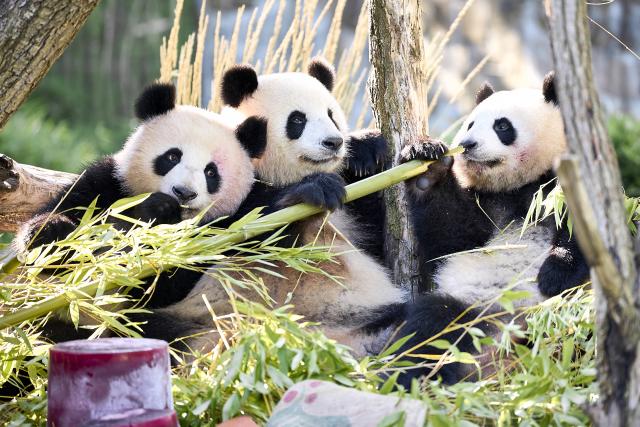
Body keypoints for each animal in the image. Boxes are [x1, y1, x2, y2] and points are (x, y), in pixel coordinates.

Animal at [151, 58, 406, 357]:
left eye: (331, 115)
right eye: (297, 119)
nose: (334, 142)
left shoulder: (353, 215)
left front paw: (367, 151)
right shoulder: (226, 197)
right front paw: (315, 189)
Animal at [393, 72, 590, 386]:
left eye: (502, 125)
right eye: (471, 123)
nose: (467, 143)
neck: (521, 185)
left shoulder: (563, 185)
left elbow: (583, 235)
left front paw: (554, 274)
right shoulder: (487, 205)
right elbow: (454, 234)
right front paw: (427, 165)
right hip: (472, 309)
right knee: (430, 329)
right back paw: (414, 379)